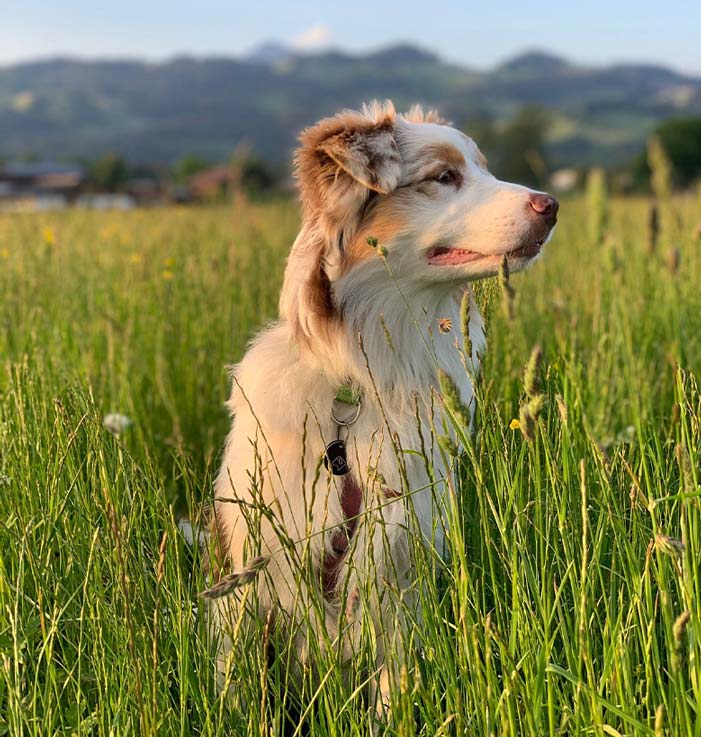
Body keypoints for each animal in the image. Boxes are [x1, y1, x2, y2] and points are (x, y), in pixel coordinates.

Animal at [205, 98, 556, 720]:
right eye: (443, 177)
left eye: (482, 170)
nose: (553, 206)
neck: (356, 389)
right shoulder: (249, 573)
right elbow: (237, 684)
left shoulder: (397, 574)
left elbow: (394, 687)